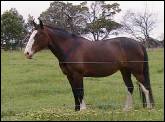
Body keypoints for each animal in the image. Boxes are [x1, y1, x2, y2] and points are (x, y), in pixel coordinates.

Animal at [23, 19, 154, 111]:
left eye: (37, 36)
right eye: (31, 35)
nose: (27, 53)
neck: (70, 48)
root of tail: (138, 44)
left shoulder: (77, 75)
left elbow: (80, 92)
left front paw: (83, 110)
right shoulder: (69, 76)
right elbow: (74, 92)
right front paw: (76, 110)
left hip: (137, 72)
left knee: (145, 87)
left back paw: (148, 108)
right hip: (125, 71)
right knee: (130, 88)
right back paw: (127, 109)